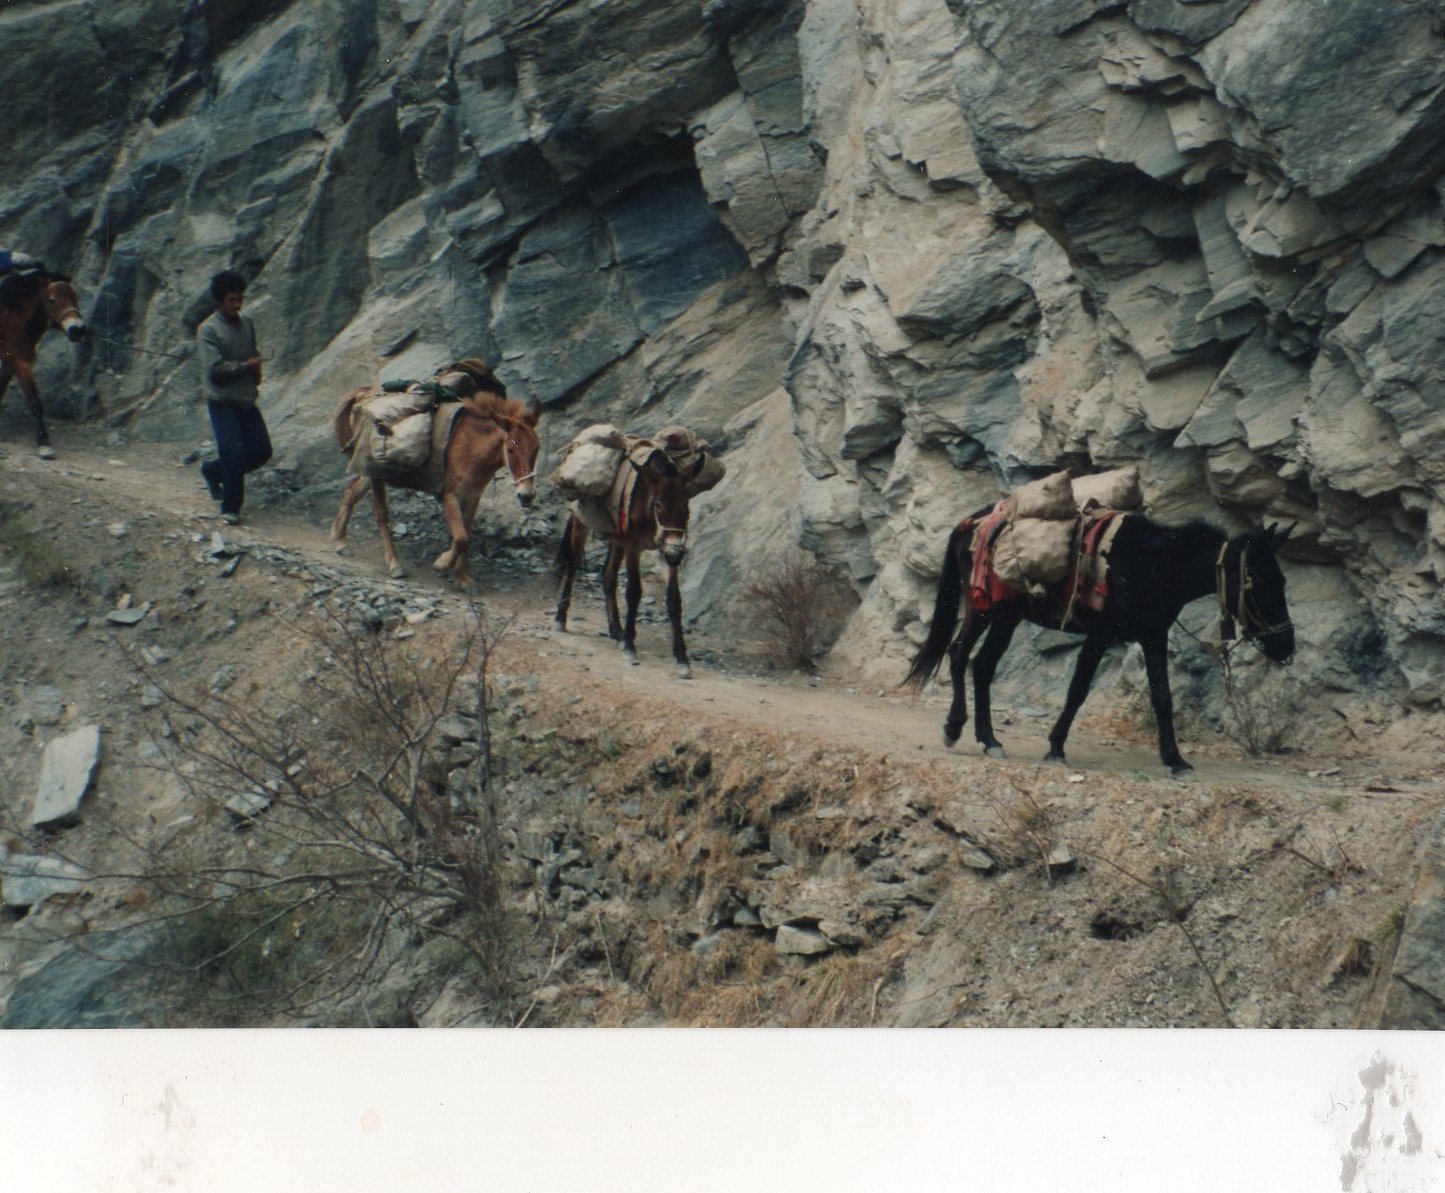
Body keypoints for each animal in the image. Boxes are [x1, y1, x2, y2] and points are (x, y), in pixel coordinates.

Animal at [0, 271, 87, 459]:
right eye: (52, 300)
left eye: (76, 298)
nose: (77, 330)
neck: (11, 317)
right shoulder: (20, 362)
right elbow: (35, 403)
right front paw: (44, 443)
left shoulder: (10, 363)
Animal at [328, 375, 543, 580]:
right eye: (510, 449)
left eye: (537, 449)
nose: (527, 496)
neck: (471, 446)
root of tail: (363, 394)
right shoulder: (450, 495)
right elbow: (461, 537)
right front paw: (443, 563)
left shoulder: (473, 498)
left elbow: (467, 535)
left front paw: (463, 578)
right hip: (376, 471)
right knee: (381, 514)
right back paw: (394, 564)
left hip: (370, 473)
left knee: (351, 492)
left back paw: (340, 541)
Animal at [551, 444, 705, 673]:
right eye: (657, 505)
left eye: (686, 507)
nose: (676, 554)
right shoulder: (634, 545)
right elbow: (633, 592)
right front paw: (631, 646)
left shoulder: (665, 548)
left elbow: (674, 599)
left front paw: (681, 658)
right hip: (582, 522)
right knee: (572, 566)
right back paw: (561, 618)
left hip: (617, 538)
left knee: (608, 576)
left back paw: (617, 631)